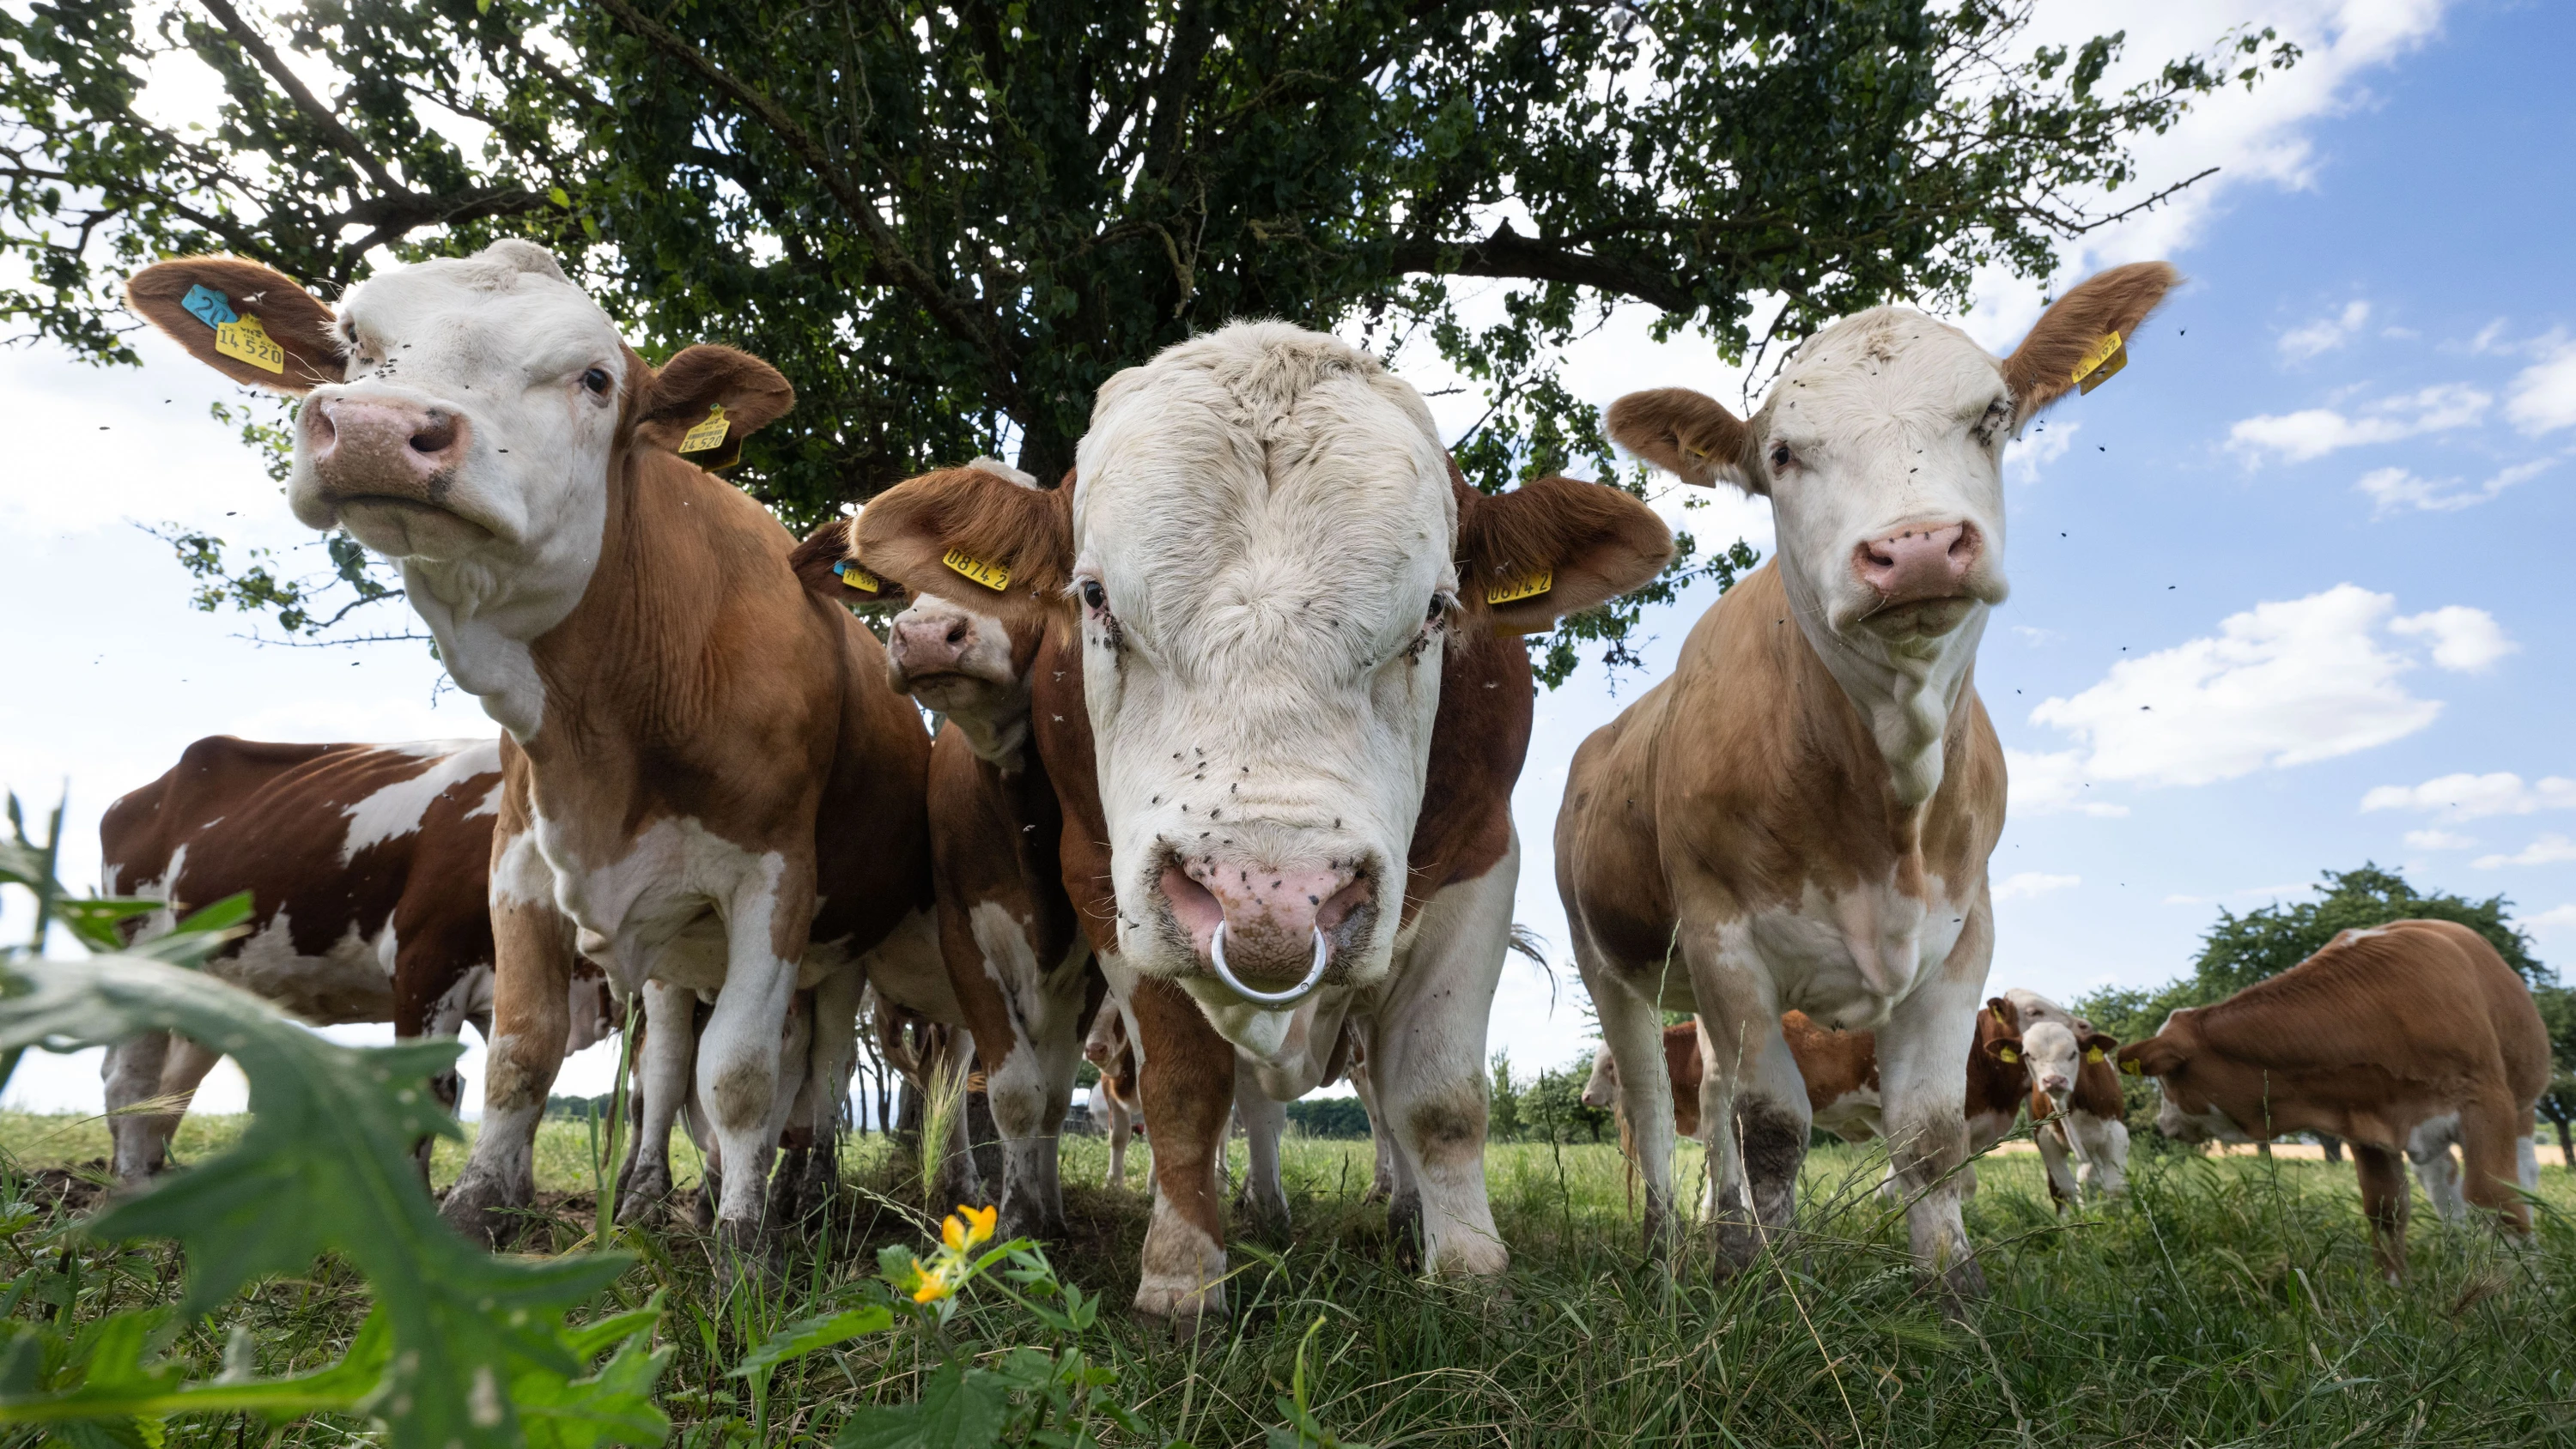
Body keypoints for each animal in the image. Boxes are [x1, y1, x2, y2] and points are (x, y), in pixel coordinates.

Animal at [127, 243, 946, 1262]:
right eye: (355, 343)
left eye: (596, 379)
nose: (374, 429)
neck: (607, 721)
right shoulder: (518, 864)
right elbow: (525, 1051)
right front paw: (476, 1208)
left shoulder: (774, 878)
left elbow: (745, 1075)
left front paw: (744, 1247)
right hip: (676, 957)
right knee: (667, 1065)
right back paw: (648, 1196)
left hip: (841, 955)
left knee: (819, 1068)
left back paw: (807, 1189)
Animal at [839, 321, 1671, 1324]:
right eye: (1092, 595)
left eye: (1435, 610)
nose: (1272, 896)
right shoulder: (1104, 883)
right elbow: (1182, 1093)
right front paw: (1181, 1273)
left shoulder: (1480, 861)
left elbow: (1438, 1099)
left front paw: (1470, 1268)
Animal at [2001, 988, 2128, 1205]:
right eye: (2028, 1055)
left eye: (2074, 1053)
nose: (2054, 1080)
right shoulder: (2046, 1140)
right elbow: (2066, 1189)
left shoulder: (2116, 1135)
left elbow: (2114, 1189)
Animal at [2116, 919, 2548, 1280]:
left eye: (2166, 1081)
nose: (2162, 1123)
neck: (2379, 1011)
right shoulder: (2364, 1126)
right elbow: (2385, 1209)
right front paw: (2397, 1292)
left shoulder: (2486, 1105)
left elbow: (2498, 1200)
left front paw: (2518, 1290)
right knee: (2442, 1182)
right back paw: (2456, 1251)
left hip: (2522, 1104)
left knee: (2522, 1177)